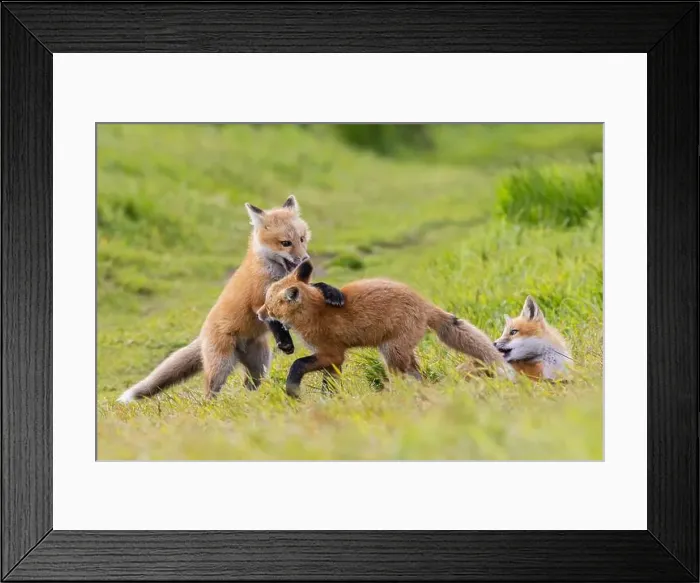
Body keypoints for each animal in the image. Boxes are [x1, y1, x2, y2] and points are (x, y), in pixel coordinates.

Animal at [117, 195, 344, 403]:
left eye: (302, 239)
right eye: (285, 243)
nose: (306, 259)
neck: (275, 273)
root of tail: (203, 334)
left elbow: (317, 287)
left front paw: (333, 293)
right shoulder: (260, 300)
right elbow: (271, 318)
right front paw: (285, 341)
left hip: (260, 364)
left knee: (248, 386)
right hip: (221, 366)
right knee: (209, 393)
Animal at [256, 260, 507, 397]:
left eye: (269, 304)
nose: (258, 313)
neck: (314, 313)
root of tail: (423, 302)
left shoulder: (331, 353)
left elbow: (298, 365)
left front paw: (293, 391)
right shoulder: (333, 359)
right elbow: (329, 386)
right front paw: (331, 402)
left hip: (391, 353)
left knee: (405, 378)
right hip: (402, 353)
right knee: (419, 375)